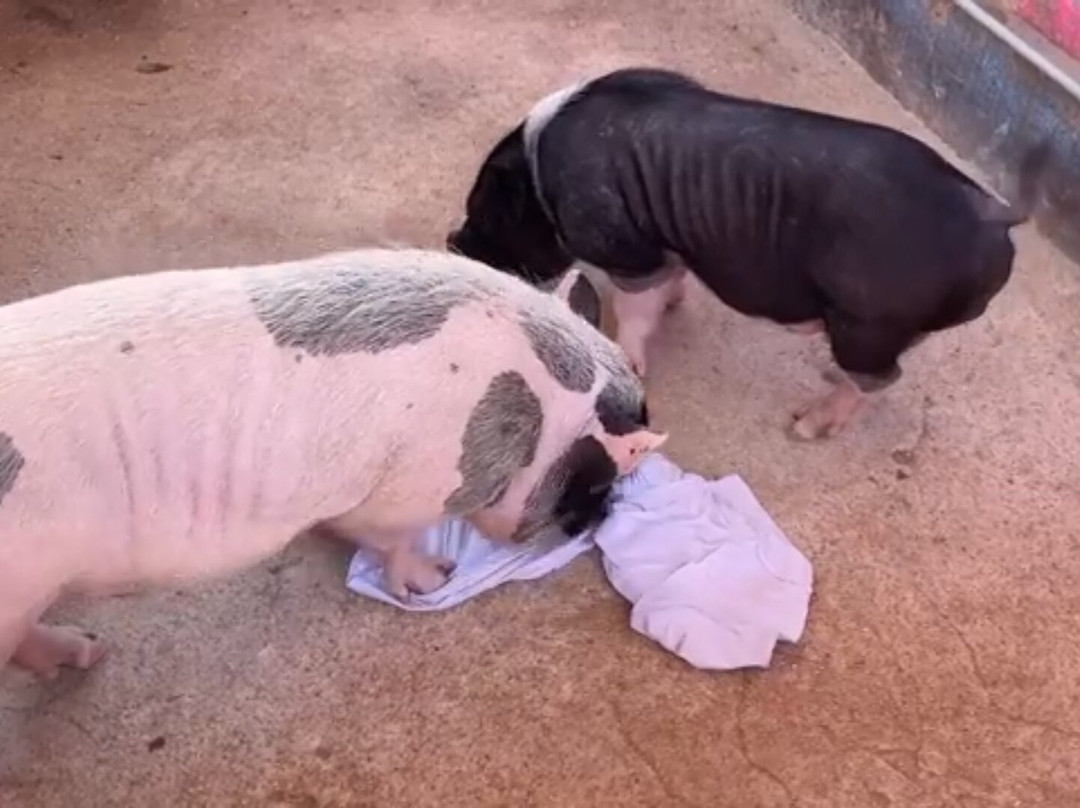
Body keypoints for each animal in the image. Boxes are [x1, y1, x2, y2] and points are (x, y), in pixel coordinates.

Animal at [0, 248, 665, 678]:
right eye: (592, 484)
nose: (600, 518)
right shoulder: (409, 488)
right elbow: (392, 542)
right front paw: (435, 578)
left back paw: (88, 651)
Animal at [447, 66, 1051, 440]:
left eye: (487, 213)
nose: (454, 242)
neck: (540, 177)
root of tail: (992, 213)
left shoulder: (628, 247)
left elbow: (637, 312)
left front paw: (635, 358)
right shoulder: (664, 245)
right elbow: (669, 284)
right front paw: (676, 305)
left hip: (868, 319)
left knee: (882, 376)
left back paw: (806, 425)